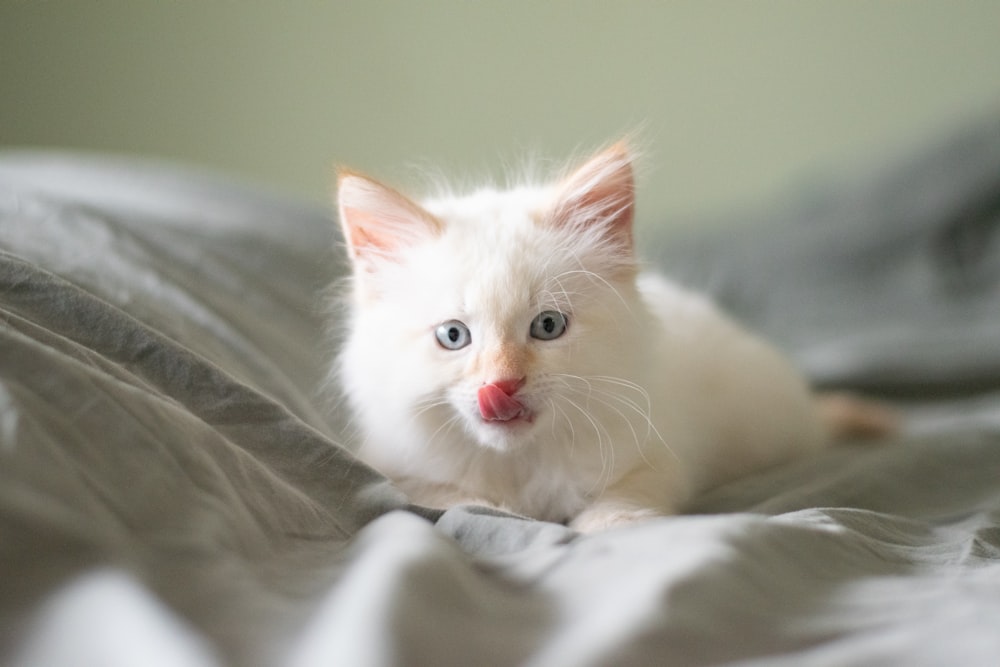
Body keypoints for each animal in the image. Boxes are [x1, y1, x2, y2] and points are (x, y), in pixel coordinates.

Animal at [334, 141, 892, 532]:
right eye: (453, 336)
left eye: (548, 327)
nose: (503, 386)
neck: (523, 461)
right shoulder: (400, 465)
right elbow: (453, 500)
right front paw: (494, 508)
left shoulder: (656, 452)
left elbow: (624, 503)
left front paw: (604, 527)